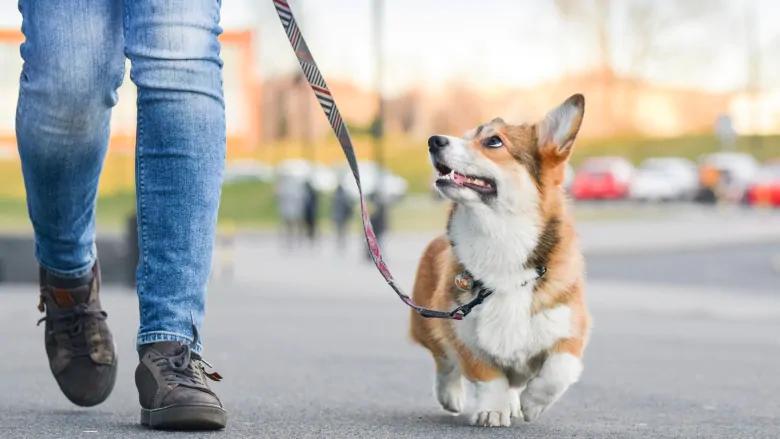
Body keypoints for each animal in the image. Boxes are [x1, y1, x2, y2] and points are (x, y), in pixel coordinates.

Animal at [412, 95, 588, 426]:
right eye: (466, 135)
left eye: (493, 141)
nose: (433, 140)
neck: (501, 239)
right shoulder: (462, 331)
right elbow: (489, 376)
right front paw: (493, 409)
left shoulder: (570, 328)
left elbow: (559, 369)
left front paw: (532, 403)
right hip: (426, 321)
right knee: (444, 362)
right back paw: (452, 395)